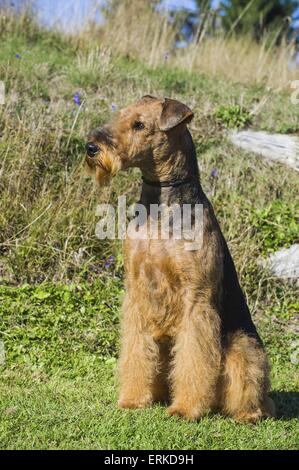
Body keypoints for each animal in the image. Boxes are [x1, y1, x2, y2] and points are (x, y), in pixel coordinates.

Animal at [85, 95, 276, 422]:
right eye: (120, 116)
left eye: (139, 124)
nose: (91, 148)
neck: (160, 206)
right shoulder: (136, 293)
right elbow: (136, 353)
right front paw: (132, 399)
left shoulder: (196, 299)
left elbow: (194, 359)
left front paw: (185, 408)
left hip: (242, 347)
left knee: (253, 394)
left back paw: (246, 414)